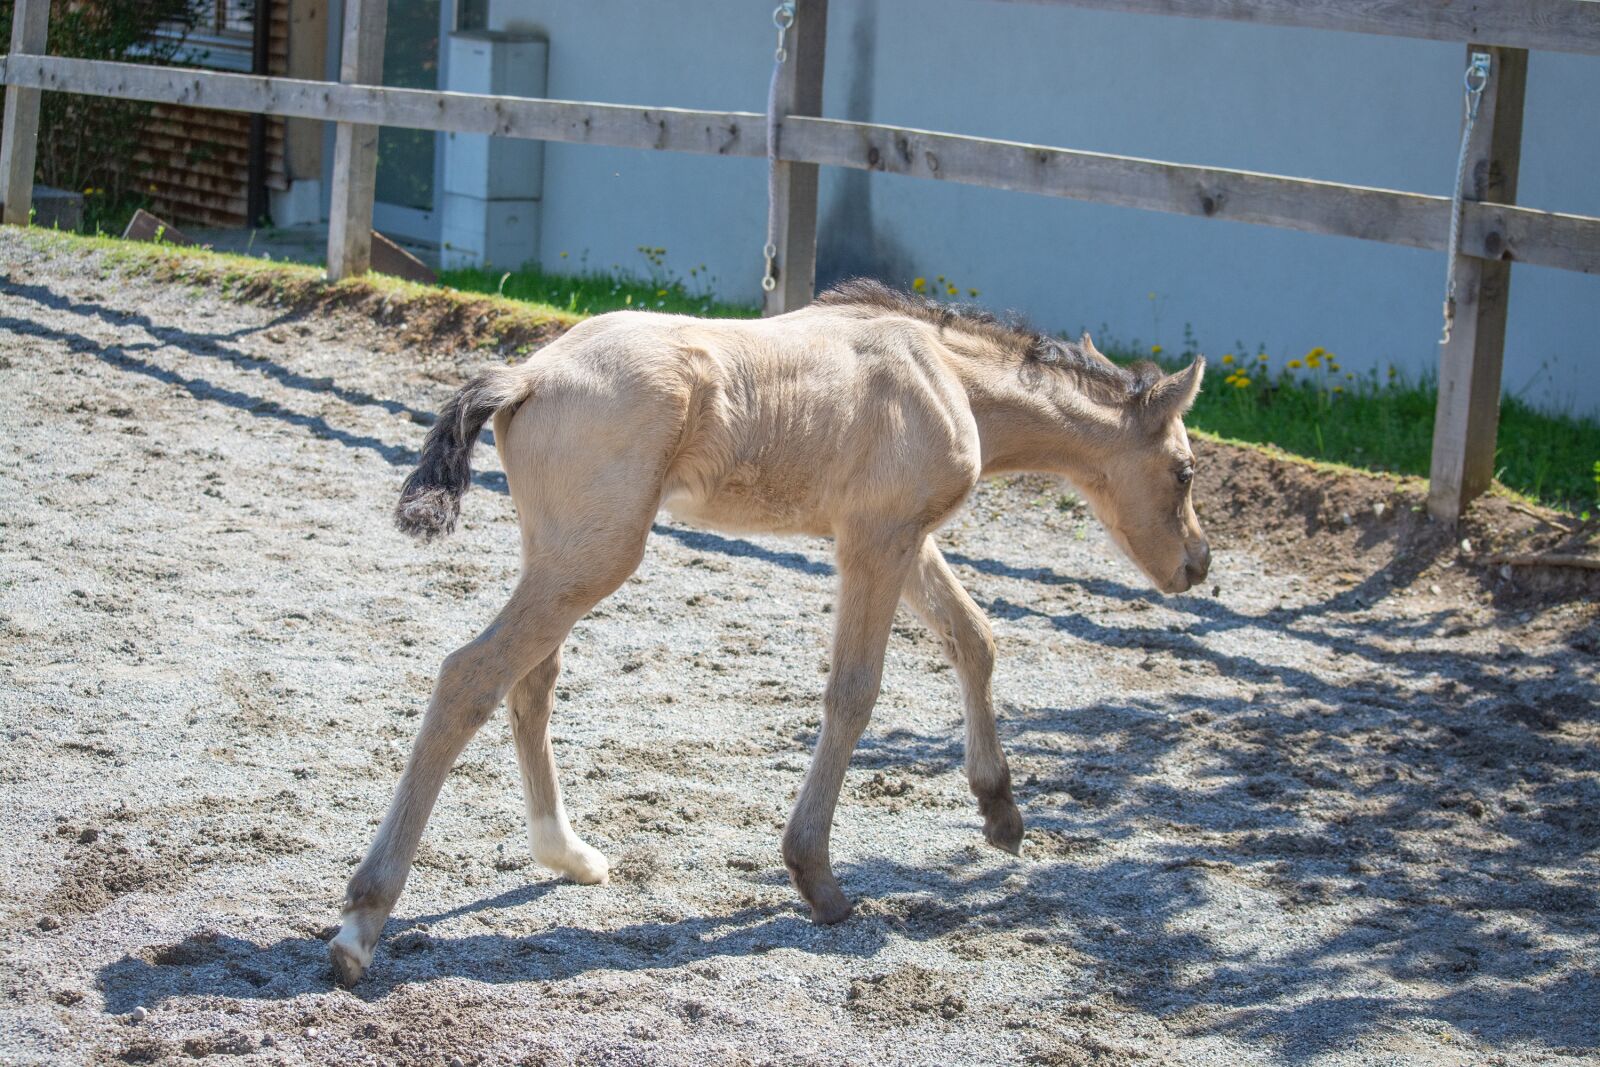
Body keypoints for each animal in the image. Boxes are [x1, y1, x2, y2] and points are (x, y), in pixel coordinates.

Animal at [329, 279, 1209, 984]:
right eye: (1186, 470)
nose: (1198, 565)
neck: (945, 373)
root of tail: (527, 374)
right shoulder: (875, 541)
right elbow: (854, 692)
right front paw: (817, 877)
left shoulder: (901, 536)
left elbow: (976, 637)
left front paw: (1000, 809)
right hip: (594, 556)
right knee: (470, 675)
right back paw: (362, 920)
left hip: (562, 554)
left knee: (531, 679)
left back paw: (566, 852)